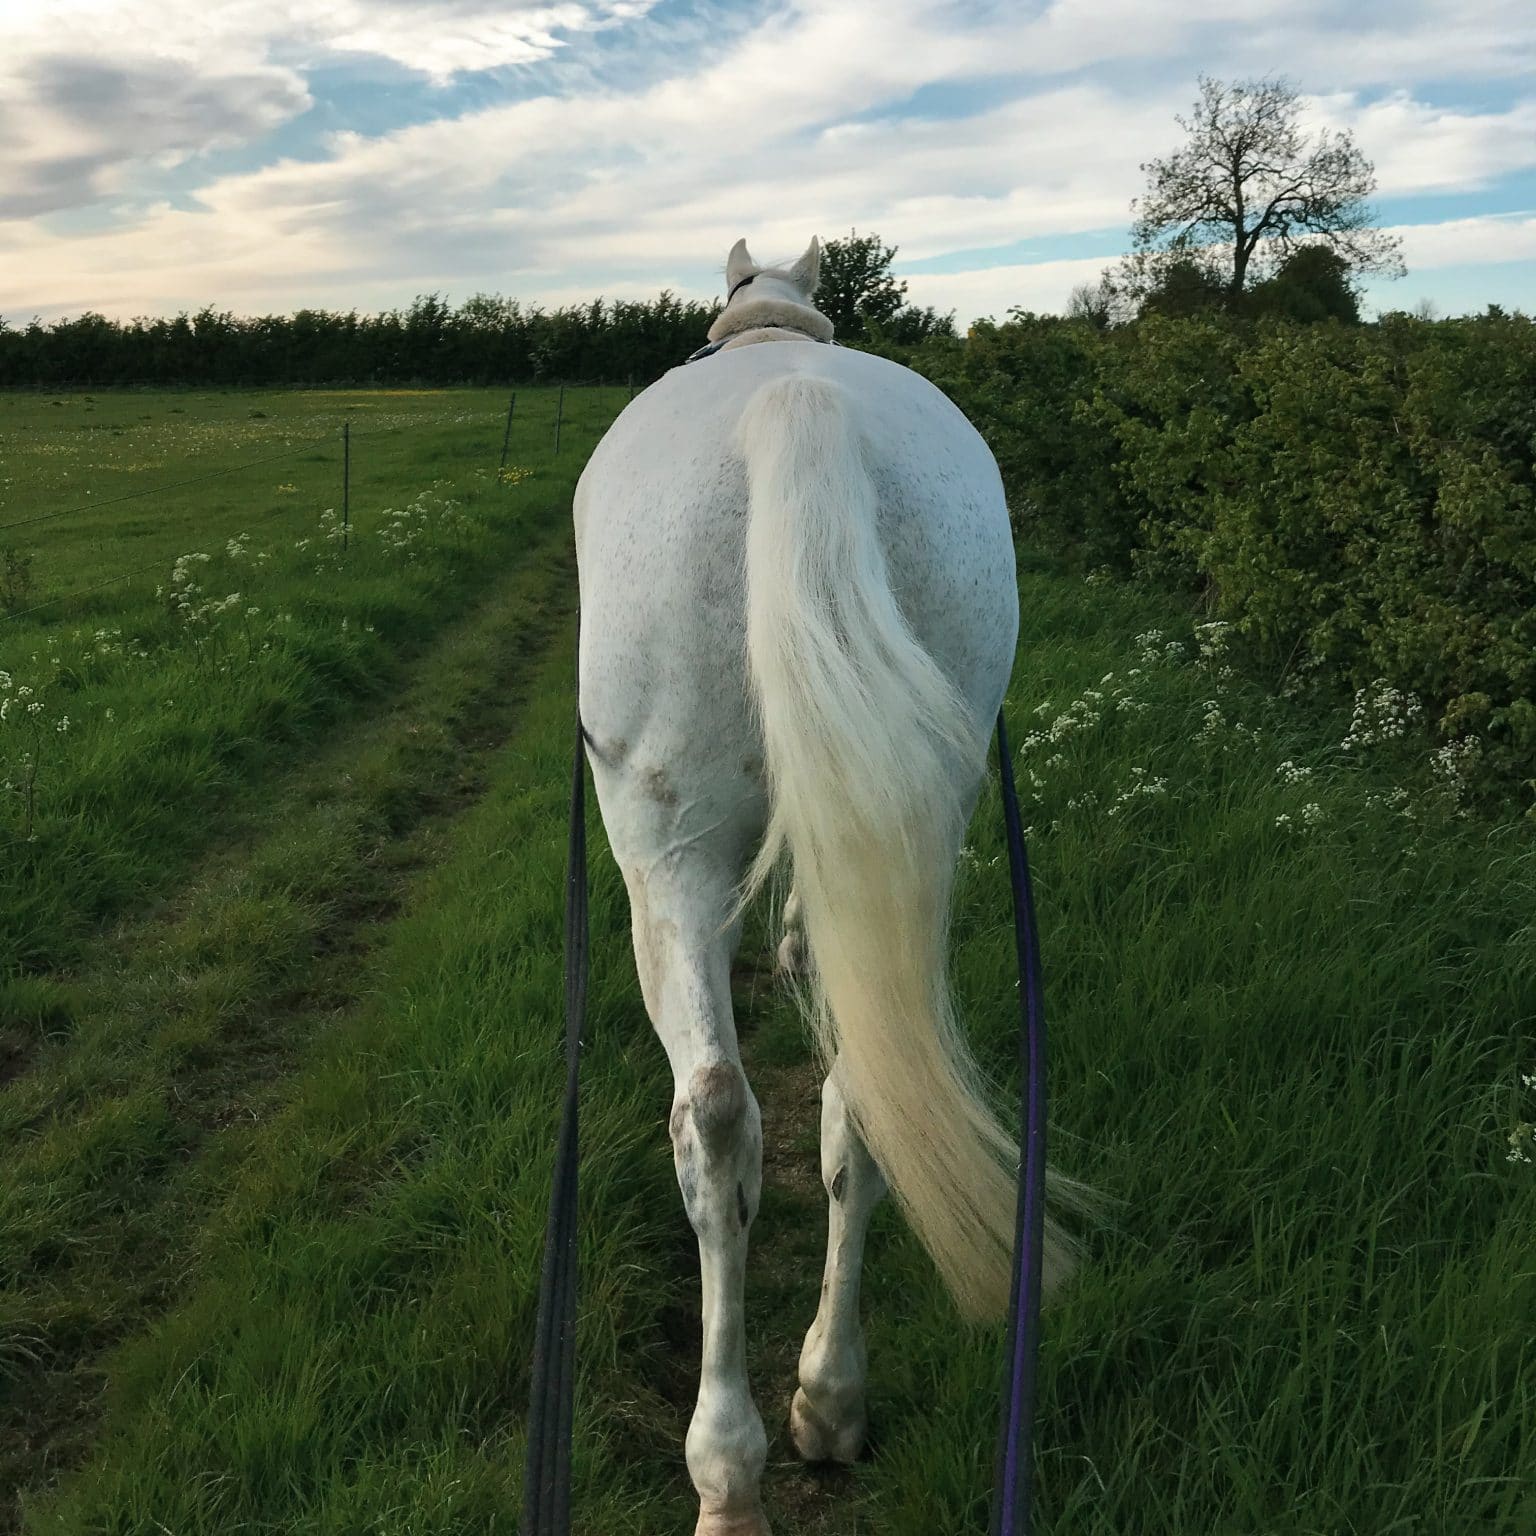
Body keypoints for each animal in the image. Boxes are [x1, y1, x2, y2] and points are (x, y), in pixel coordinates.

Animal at [573, 236, 1088, 1534]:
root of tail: (791, 414)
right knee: (865, 1095)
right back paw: (831, 1402)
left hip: (667, 854)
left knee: (714, 1117)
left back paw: (728, 1469)